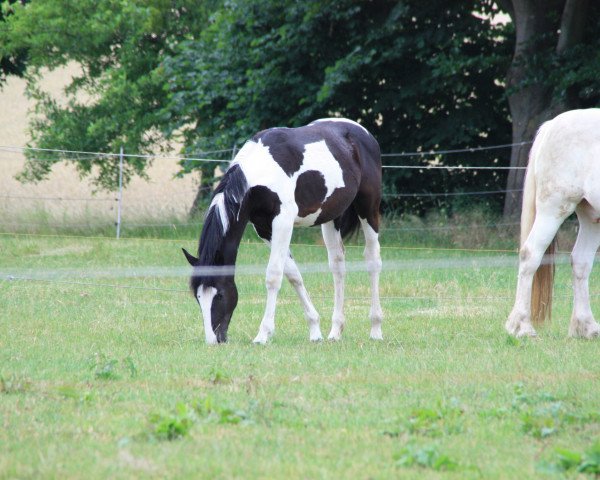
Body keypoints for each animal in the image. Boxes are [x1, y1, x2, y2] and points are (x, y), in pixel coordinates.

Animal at [182, 120, 384, 344]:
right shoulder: (264, 229)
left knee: (372, 260)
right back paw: (335, 331)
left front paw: (263, 334)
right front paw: (315, 330)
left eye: (218, 295)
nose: (214, 340)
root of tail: (362, 133)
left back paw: (376, 329)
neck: (260, 170)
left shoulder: (283, 221)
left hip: (368, 208)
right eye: (198, 297)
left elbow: (274, 275)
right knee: (337, 264)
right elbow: (293, 274)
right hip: (331, 218)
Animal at [506, 110, 600, 340]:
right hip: (553, 208)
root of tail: (551, 125)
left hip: (592, 217)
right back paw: (522, 327)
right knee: (530, 255)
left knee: (581, 262)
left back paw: (586, 327)